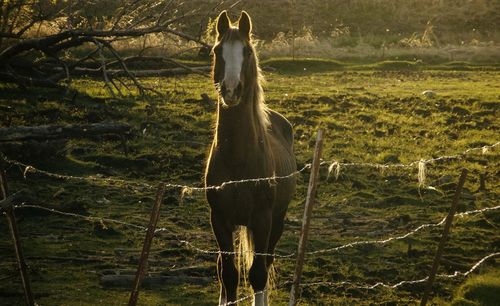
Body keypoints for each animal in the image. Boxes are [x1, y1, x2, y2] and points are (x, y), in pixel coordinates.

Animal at [204, 10, 296, 304]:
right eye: (217, 50)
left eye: (247, 51)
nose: (231, 90)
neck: (237, 158)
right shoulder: (220, 219)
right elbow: (229, 274)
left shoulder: (263, 219)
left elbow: (257, 274)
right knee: (224, 268)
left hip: (277, 221)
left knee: (265, 262)